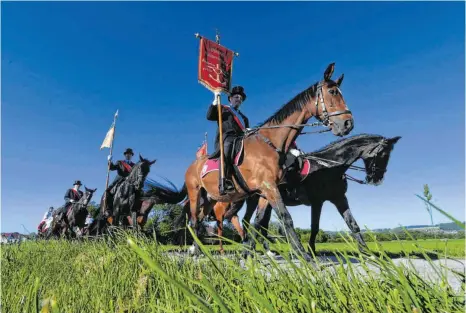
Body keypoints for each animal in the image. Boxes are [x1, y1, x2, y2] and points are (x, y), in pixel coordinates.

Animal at [181, 63, 354, 258]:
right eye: (333, 92)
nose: (348, 124)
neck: (270, 143)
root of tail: (193, 164)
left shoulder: (266, 191)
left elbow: (258, 221)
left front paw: (249, 253)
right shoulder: (269, 187)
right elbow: (286, 218)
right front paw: (303, 255)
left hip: (211, 198)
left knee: (201, 219)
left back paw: (199, 249)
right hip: (196, 194)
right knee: (194, 220)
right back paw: (196, 251)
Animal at [224, 133, 402, 254]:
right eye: (383, 154)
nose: (376, 179)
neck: (329, 167)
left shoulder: (339, 198)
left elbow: (353, 224)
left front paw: (366, 252)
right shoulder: (318, 201)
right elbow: (315, 227)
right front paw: (311, 250)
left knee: (258, 223)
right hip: (260, 199)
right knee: (253, 222)